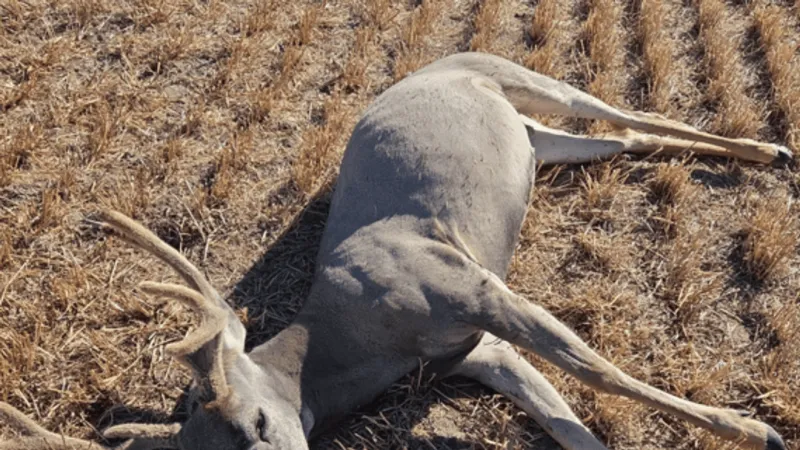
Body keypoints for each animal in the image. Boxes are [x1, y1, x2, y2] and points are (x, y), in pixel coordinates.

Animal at [0, 52, 791, 450]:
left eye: (258, 423)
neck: (362, 336)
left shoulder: (470, 286)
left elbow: (601, 374)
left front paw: (756, 430)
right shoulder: (477, 353)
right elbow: (566, 423)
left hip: (529, 80)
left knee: (629, 110)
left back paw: (772, 148)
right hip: (540, 141)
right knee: (625, 140)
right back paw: (764, 153)